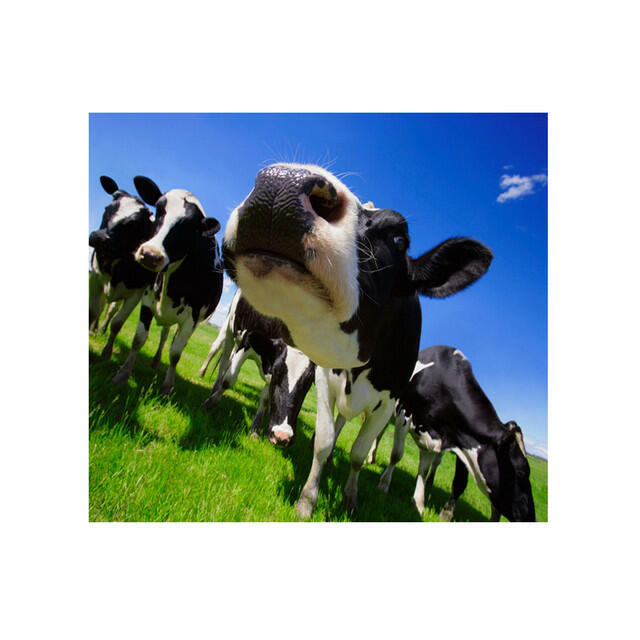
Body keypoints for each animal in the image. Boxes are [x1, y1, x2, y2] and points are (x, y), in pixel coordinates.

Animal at [89, 176, 156, 360]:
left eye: (134, 224)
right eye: (108, 208)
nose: (99, 237)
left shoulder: (137, 292)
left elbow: (117, 322)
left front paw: (106, 352)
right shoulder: (94, 277)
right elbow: (92, 311)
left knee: (111, 310)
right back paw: (94, 329)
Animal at [111, 176, 223, 395]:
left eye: (190, 228)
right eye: (159, 209)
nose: (150, 255)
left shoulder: (191, 318)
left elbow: (176, 353)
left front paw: (167, 386)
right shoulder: (147, 298)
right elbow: (139, 338)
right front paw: (123, 374)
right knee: (164, 334)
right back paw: (155, 362)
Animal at [221, 163, 493, 518]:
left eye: (399, 239)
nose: (281, 184)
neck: (359, 365)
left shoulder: (390, 403)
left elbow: (359, 454)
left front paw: (350, 499)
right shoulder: (323, 378)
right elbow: (323, 442)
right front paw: (307, 500)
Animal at [377, 346, 536, 522]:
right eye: (522, 472)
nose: (531, 517)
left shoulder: (440, 440)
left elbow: (425, 471)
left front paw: (419, 504)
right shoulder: (404, 415)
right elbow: (396, 455)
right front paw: (384, 485)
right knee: (379, 433)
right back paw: (370, 458)